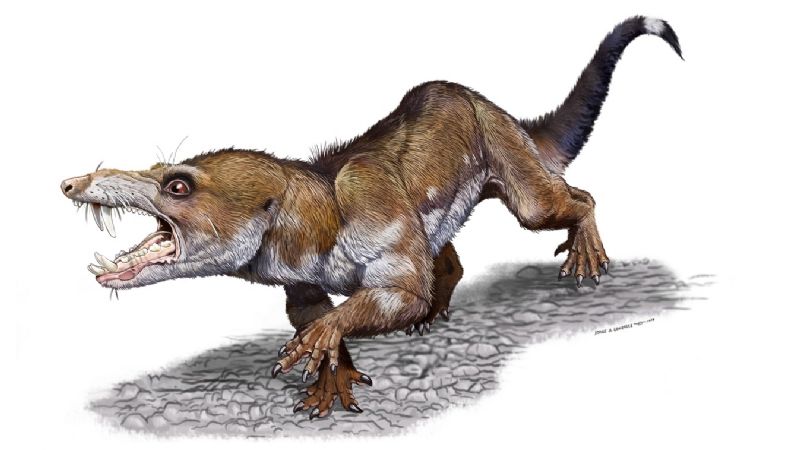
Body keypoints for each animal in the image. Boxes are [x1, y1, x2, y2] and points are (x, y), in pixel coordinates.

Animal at [61, 16, 681, 419]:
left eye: (178, 185)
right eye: (158, 167)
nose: (73, 182)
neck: (314, 210)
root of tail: (495, 107)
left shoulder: (379, 216)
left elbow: (389, 295)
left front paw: (321, 346)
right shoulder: (300, 278)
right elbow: (314, 314)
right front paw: (330, 381)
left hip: (512, 165)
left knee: (565, 201)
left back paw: (585, 251)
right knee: (446, 260)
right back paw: (431, 315)